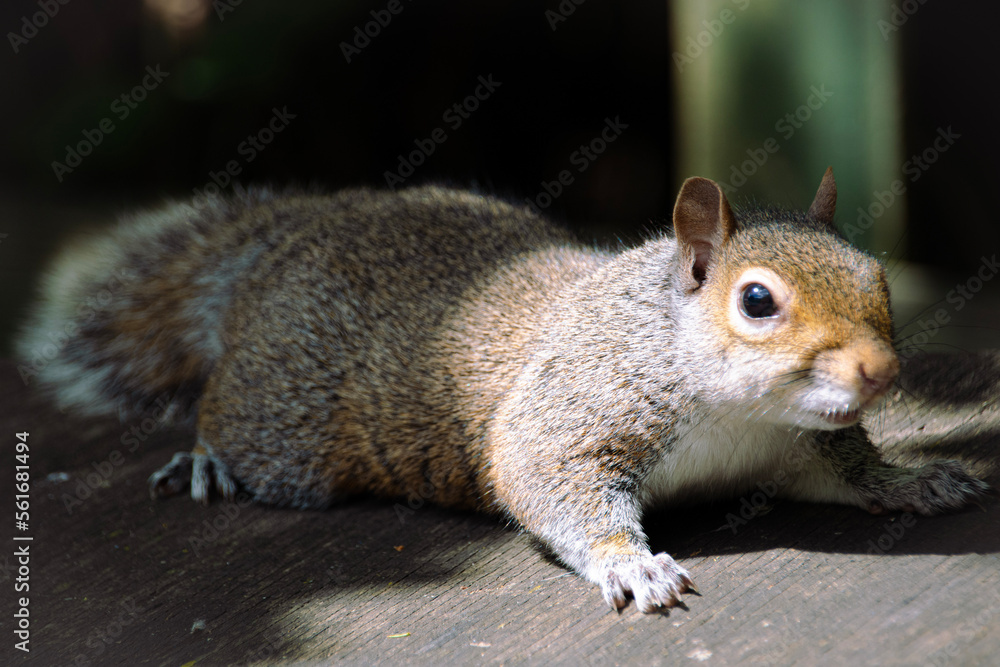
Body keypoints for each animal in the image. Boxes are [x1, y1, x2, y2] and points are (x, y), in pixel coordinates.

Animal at [17, 168, 991, 613]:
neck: (735, 416)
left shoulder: (793, 441)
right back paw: (204, 460)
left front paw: (912, 478)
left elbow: (843, 467)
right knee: (233, 417)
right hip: (286, 420)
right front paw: (631, 560)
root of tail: (293, 243)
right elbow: (546, 481)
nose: (881, 373)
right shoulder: (571, 411)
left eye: (877, 275)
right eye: (757, 301)